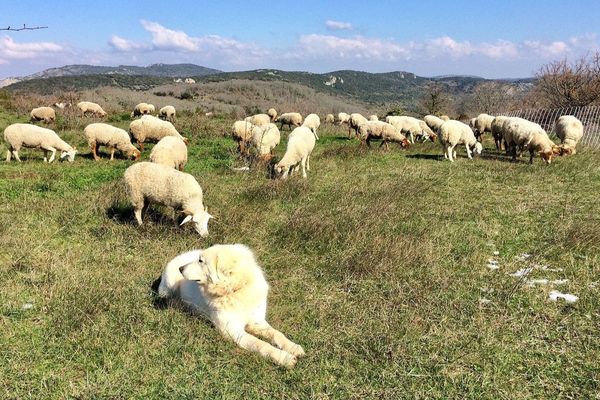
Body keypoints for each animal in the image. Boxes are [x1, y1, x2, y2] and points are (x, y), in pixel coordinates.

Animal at [157, 242, 304, 368]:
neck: (235, 290)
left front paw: (293, 347)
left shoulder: (257, 321)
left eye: (201, 261)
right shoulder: (233, 331)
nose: (181, 268)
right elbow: (260, 344)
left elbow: (277, 334)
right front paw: (284, 358)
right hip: (168, 287)